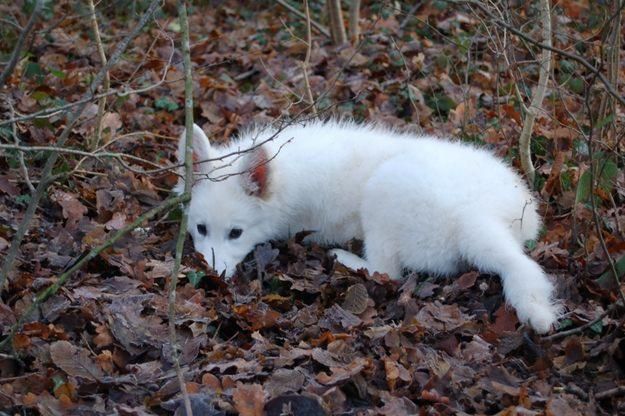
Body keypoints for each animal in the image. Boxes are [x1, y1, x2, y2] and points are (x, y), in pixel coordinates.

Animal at [177, 119, 560, 332]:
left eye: (236, 233)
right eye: (200, 228)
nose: (210, 276)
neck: (287, 178)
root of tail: (477, 216)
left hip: (384, 190)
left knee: (386, 271)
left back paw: (343, 258)